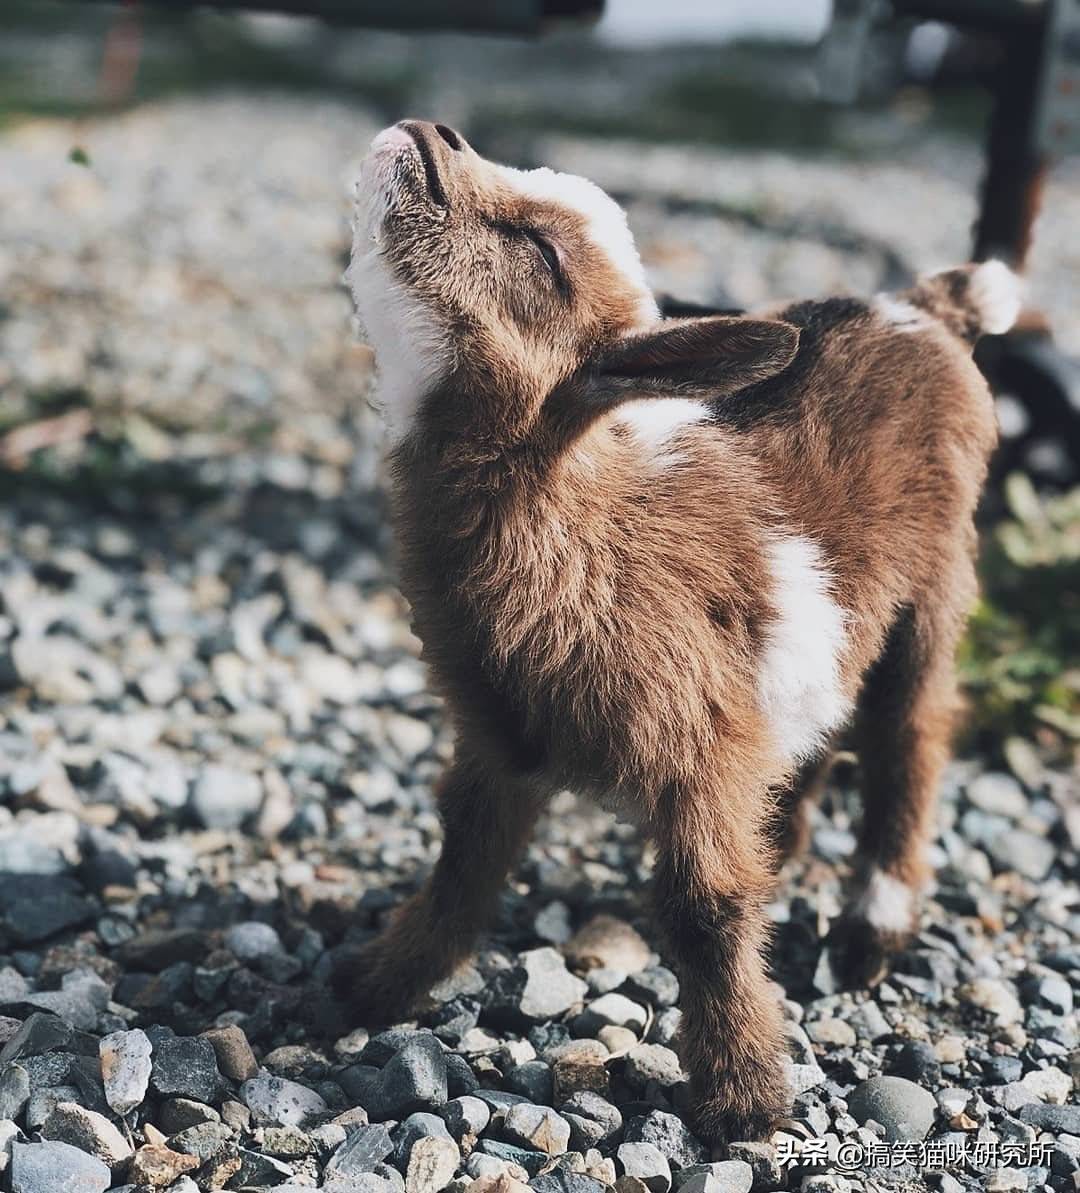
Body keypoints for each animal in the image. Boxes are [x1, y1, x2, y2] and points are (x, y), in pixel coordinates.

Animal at [338, 123, 1021, 1145]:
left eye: (542, 254)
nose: (431, 135)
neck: (581, 520)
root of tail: (920, 307)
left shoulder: (698, 741)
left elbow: (703, 908)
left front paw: (745, 1099)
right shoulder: (499, 738)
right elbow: (463, 862)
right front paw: (369, 988)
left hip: (937, 582)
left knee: (911, 732)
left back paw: (872, 928)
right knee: (825, 713)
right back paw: (785, 842)